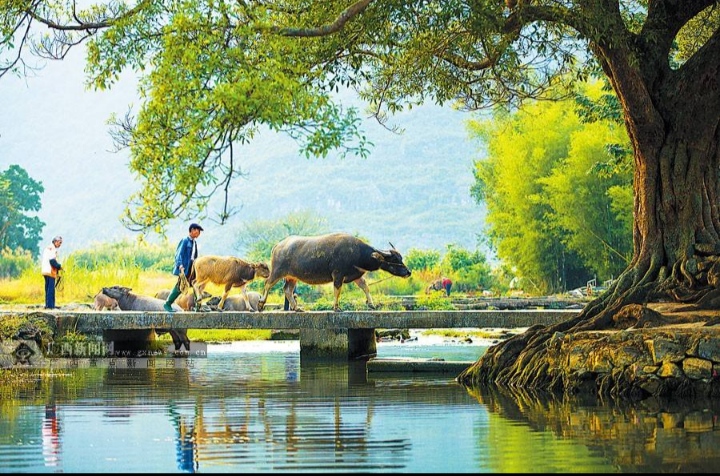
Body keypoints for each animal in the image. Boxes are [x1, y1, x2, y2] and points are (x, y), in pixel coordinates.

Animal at [260, 231, 410, 312]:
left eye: (401, 258)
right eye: (395, 259)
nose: (408, 272)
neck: (357, 253)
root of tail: (278, 246)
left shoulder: (356, 275)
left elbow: (365, 286)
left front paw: (371, 304)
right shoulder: (338, 274)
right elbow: (337, 290)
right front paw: (336, 307)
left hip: (292, 277)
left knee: (287, 290)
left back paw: (297, 308)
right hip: (277, 271)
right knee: (268, 284)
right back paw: (261, 304)